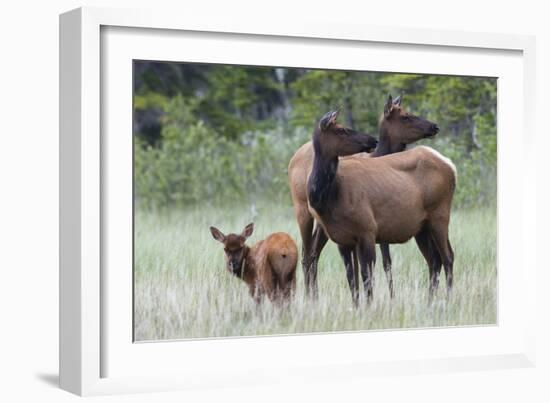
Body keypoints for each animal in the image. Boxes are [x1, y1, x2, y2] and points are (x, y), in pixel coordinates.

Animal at [288, 94, 440, 296]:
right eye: (406, 116)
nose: (434, 126)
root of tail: (292, 159)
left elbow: (381, 263)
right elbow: (377, 264)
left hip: (321, 226)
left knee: (313, 253)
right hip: (302, 211)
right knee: (306, 255)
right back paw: (309, 296)